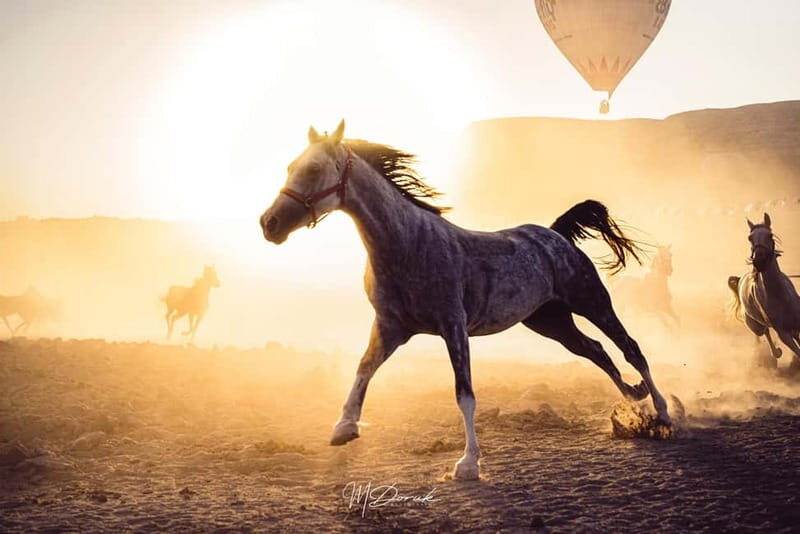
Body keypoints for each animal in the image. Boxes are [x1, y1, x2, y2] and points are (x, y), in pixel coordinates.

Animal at [258, 120, 671, 480]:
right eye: (290, 166)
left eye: (313, 168)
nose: (269, 223)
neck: (407, 245)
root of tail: (555, 234)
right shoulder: (391, 328)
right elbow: (364, 369)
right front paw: (343, 428)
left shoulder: (453, 327)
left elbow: (464, 394)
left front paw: (468, 464)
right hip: (550, 322)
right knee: (596, 350)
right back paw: (634, 400)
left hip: (592, 303)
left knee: (630, 348)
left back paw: (664, 414)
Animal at [728, 213, 800, 369]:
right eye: (750, 238)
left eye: (770, 235)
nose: (759, 261)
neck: (779, 295)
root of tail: (740, 279)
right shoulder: (782, 332)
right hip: (755, 326)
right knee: (765, 333)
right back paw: (775, 353)